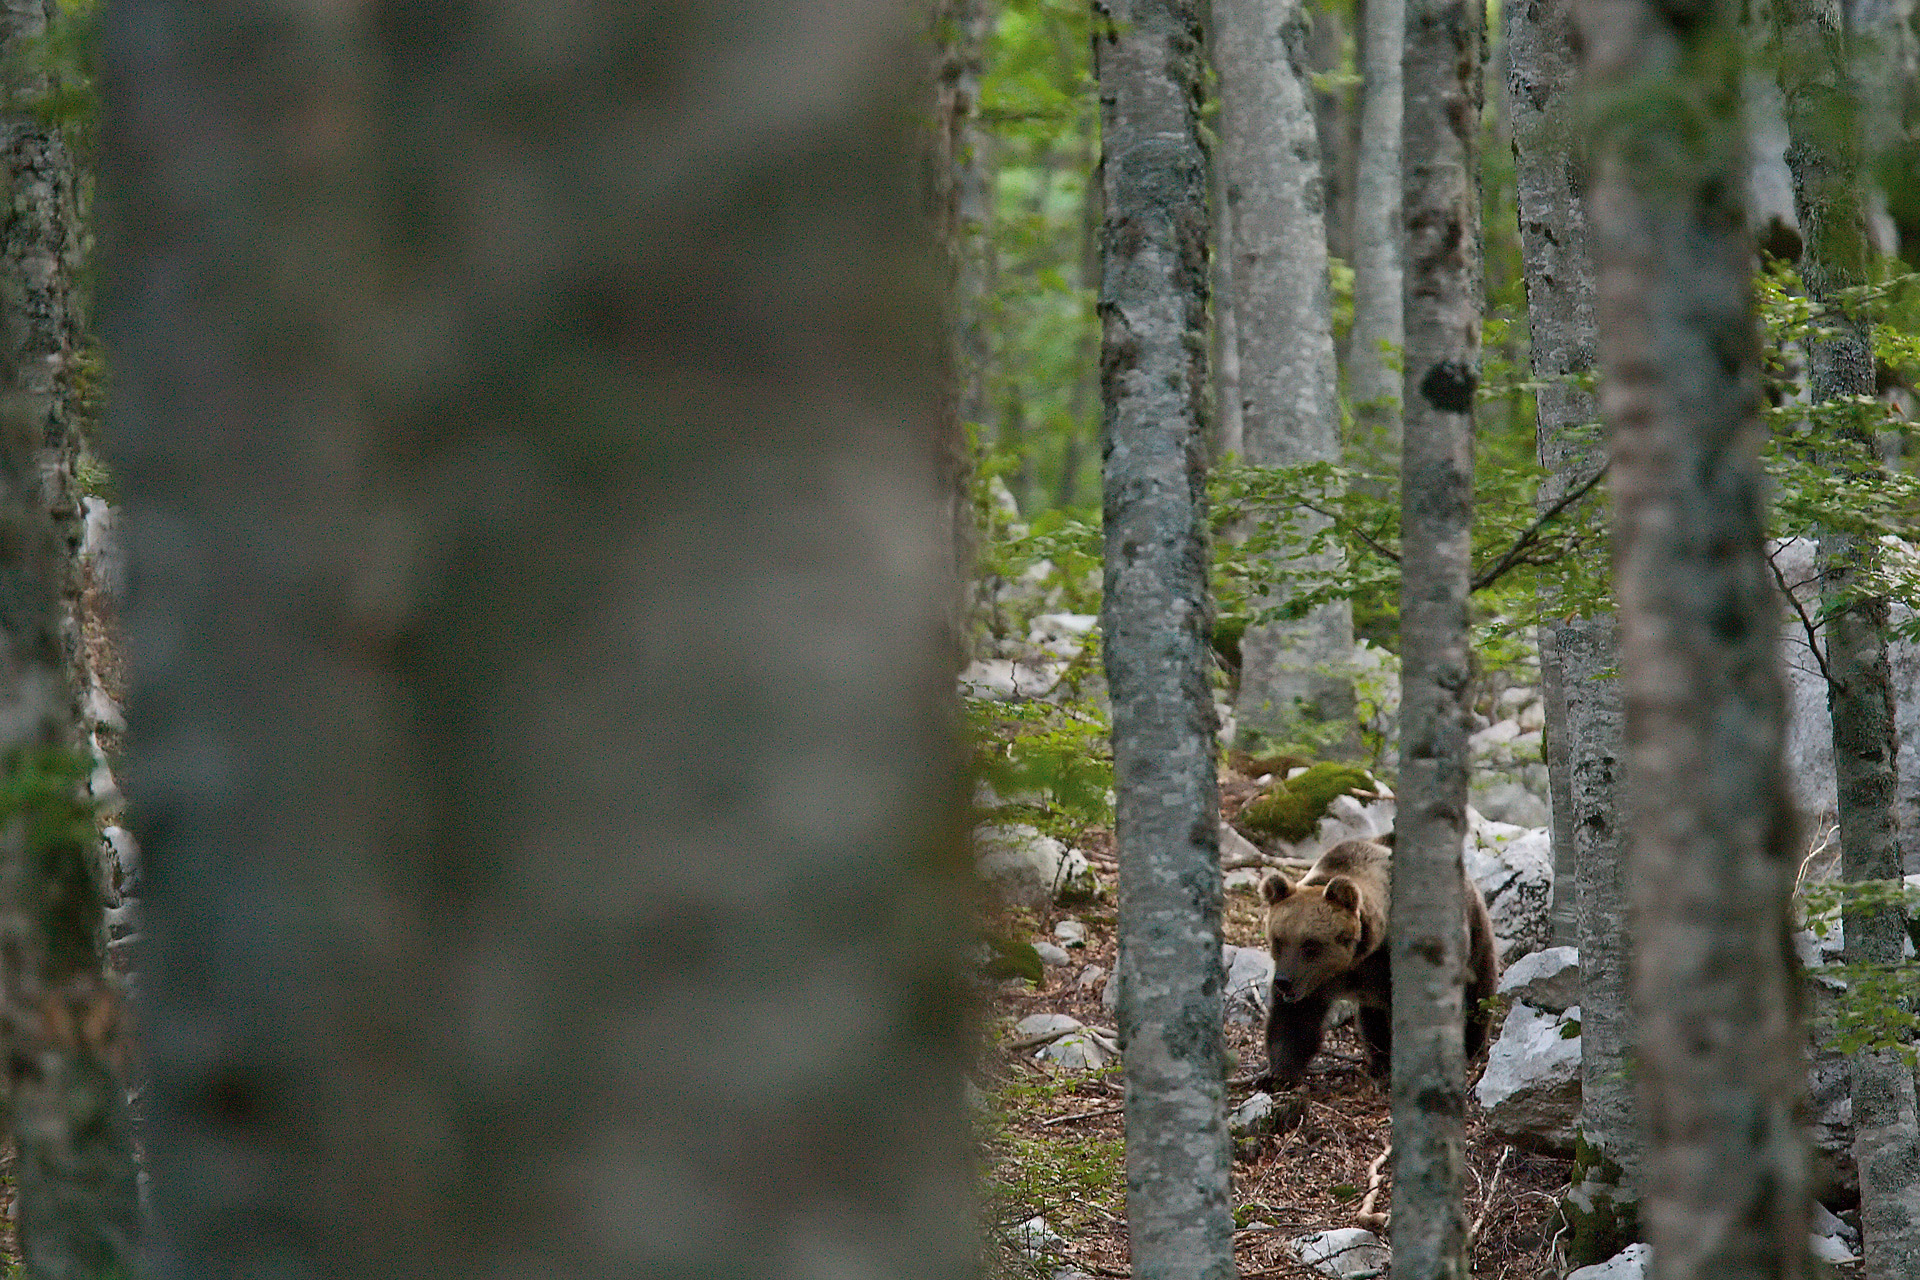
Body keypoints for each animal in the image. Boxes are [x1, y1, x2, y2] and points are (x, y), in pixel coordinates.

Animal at [1259, 840, 1497, 1090]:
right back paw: (1380, 1062)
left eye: (1310, 945)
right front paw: (1279, 1074)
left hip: (1472, 936)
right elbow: (1295, 1020)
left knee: (1477, 993)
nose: (1283, 982)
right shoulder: (1317, 982)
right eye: (1278, 939)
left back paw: (1471, 1048)